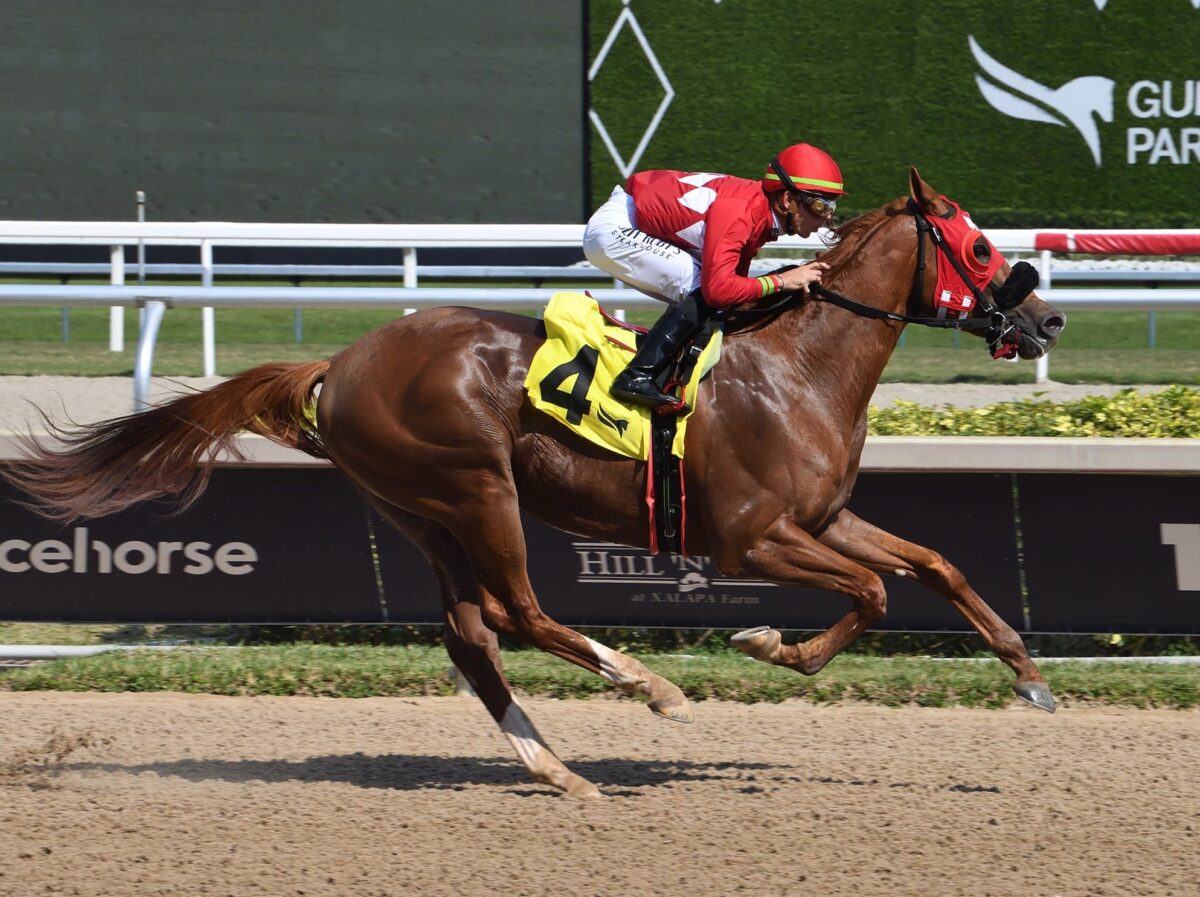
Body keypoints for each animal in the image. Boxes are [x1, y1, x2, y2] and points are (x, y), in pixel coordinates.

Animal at [4, 170, 1065, 801]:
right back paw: (649, 687)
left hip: (416, 508)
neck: (796, 365)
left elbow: (933, 562)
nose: (1046, 320)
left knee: (471, 634)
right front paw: (770, 644)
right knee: (517, 610)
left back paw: (557, 766)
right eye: (977, 248)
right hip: (476, 487)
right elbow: (876, 592)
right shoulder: (751, 537)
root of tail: (339, 364)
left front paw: (1030, 675)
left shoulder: (824, 516)